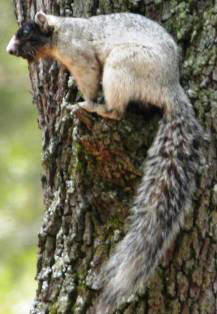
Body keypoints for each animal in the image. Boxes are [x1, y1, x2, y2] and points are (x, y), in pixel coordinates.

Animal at [6, 11, 203, 312]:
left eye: (26, 33)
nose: (9, 50)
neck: (61, 31)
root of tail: (169, 88)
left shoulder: (81, 56)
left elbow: (89, 77)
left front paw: (82, 100)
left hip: (121, 67)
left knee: (117, 110)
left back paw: (98, 108)